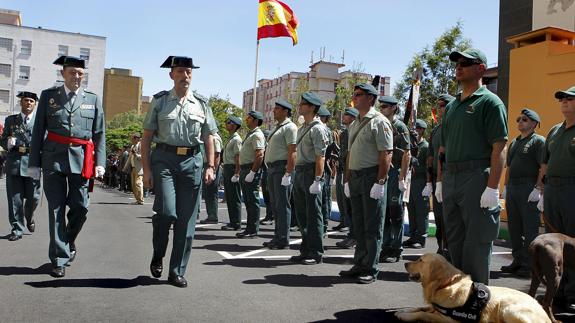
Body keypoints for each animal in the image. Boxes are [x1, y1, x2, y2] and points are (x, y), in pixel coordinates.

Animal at [394, 254, 552, 322]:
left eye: (420, 260)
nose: (405, 264)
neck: (446, 284)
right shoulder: (435, 306)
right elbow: (420, 308)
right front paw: (404, 311)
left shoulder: (450, 320)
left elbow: (424, 314)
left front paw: (405, 316)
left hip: (509, 309)